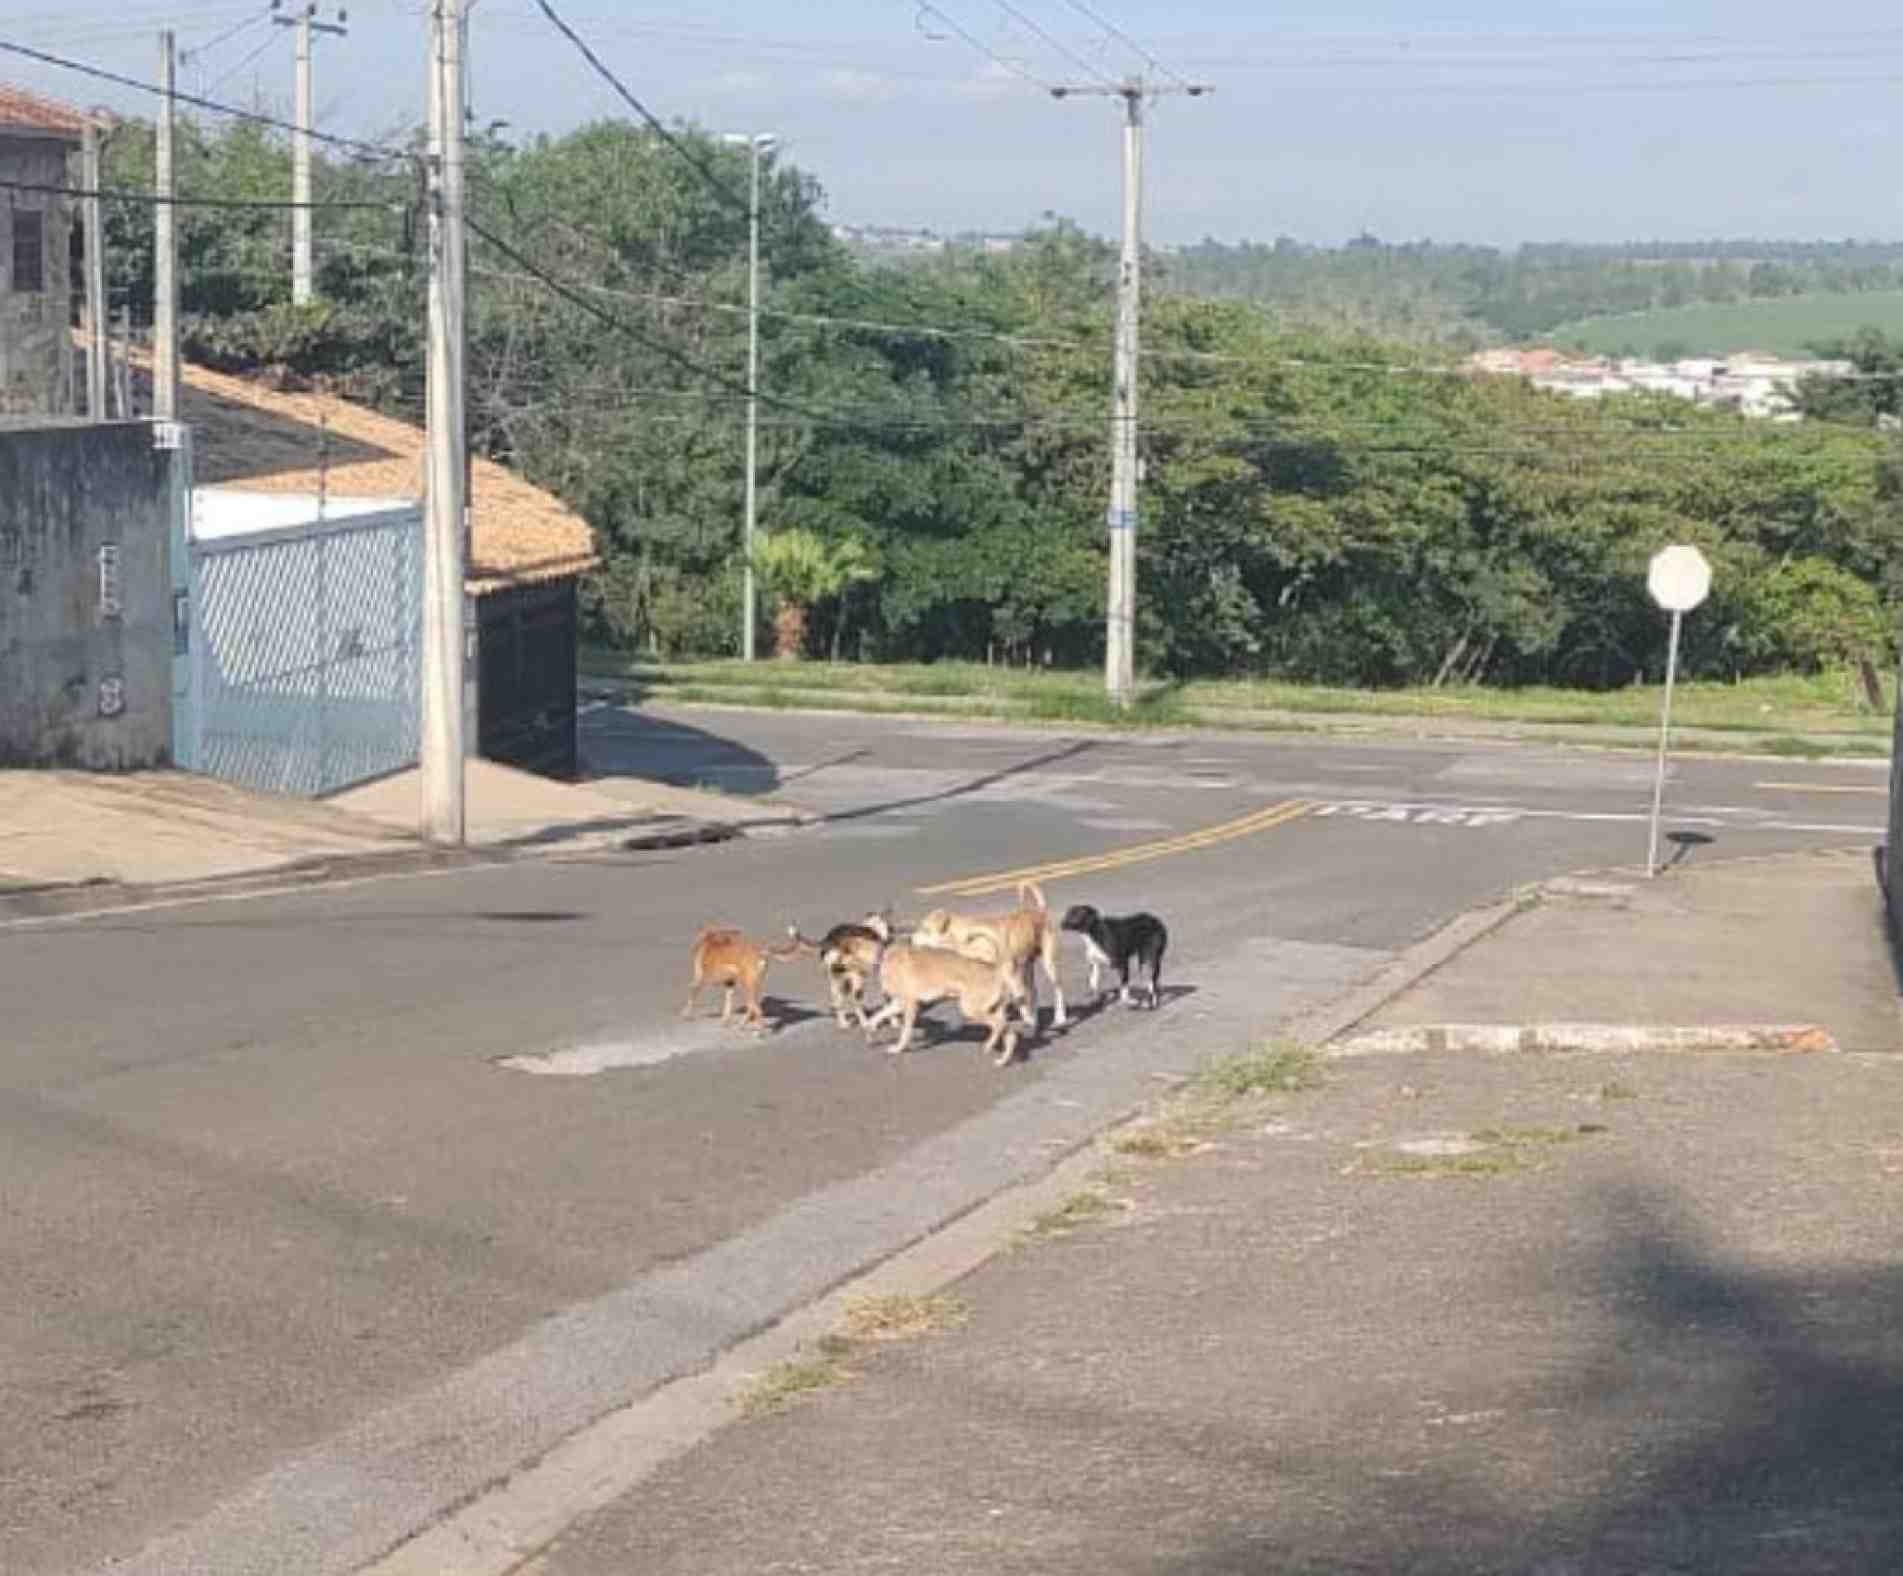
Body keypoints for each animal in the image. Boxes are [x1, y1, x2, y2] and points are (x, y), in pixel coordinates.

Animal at [867, 940, 1035, 1065]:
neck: (883, 954)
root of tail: (996, 971)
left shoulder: (910, 1004)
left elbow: (905, 1032)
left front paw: (899, 1048)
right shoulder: (898, 1004)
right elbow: (875, 1017)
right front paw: (870, 1031)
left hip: (970, 1009)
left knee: (999, 1026)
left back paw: (988, 1045)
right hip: (991, 1010)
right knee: (1010, 1034)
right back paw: (1002, 1060)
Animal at [909, 879, 1065, 1027]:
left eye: (925, 929)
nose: (910, 939)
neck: (971, 939)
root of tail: (1039, 910)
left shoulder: (1009, 974)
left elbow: (1018, 999)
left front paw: (1026, 1019)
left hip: (1047, 963)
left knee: (1056, 989)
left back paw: (1059, 1018)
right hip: (1026, 965)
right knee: (1033, 991)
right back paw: (1035, 1017)